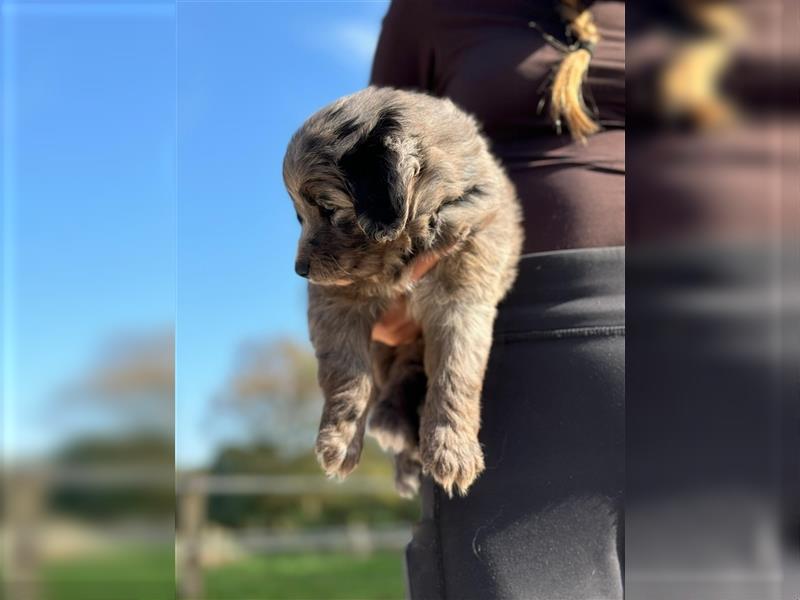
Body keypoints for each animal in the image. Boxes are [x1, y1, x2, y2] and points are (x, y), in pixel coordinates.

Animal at [284, 85, 520, 496]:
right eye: (300, 215)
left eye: (329, 209)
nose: (301, 270)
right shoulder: (335, 303)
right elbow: (347, 373)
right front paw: (339, 440)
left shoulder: (463, 300)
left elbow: (456, 372)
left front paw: (452, 450)